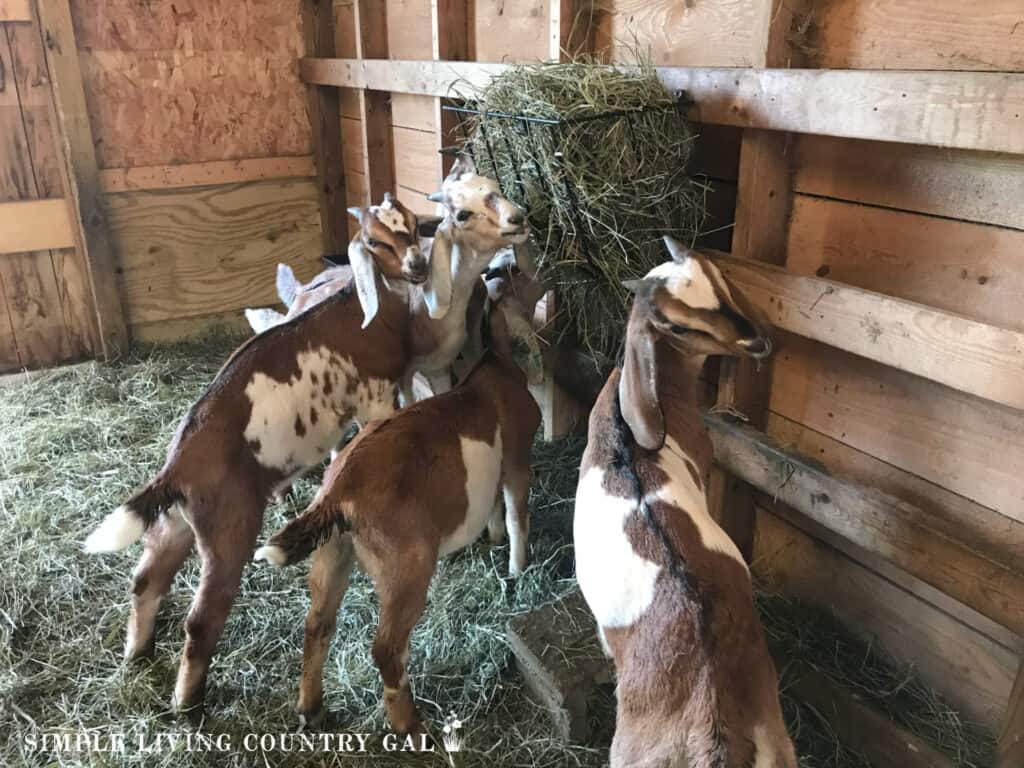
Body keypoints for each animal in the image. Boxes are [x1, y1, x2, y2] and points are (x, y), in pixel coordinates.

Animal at [253, 292, 544, 733]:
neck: (494, 365)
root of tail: (339, 490)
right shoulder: (516, 457)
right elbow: (516, 513)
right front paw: (517, 567)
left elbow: (495, 504)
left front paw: (493, 539)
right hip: (404, 564)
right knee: (386, 647)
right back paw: (412, 725)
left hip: (334, 551)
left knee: (317, 623)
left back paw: (312, 708)